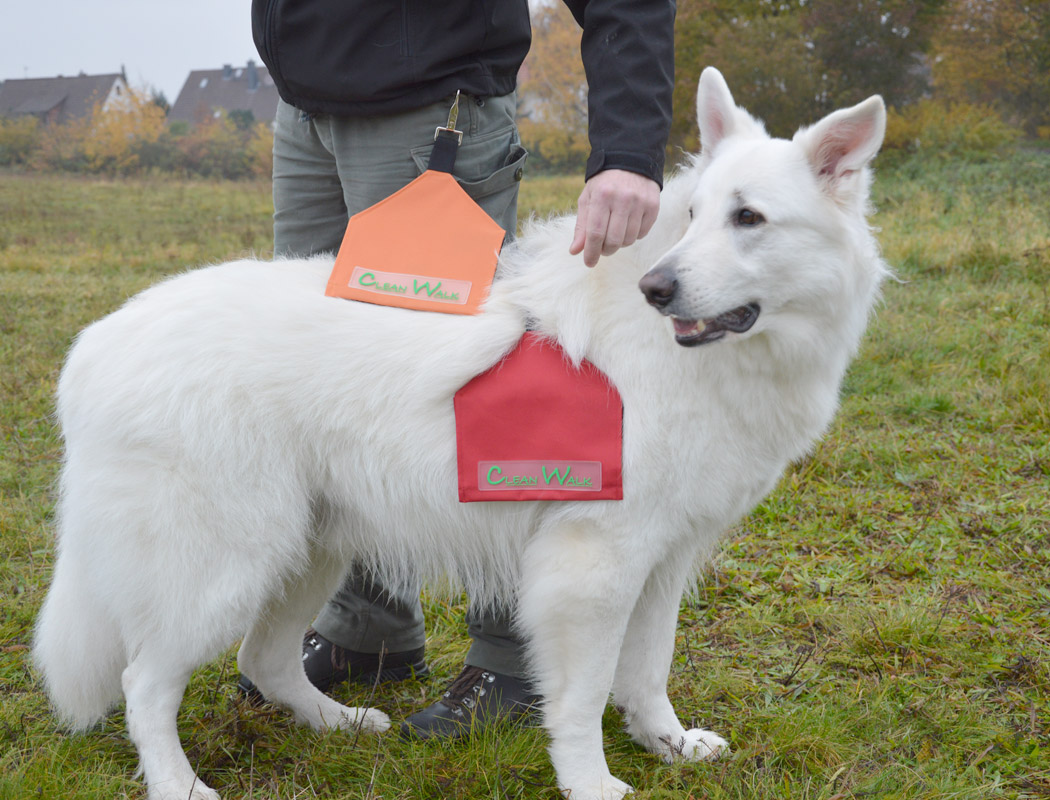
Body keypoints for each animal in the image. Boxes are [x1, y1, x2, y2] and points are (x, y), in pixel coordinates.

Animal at [30, 70, 886, 797]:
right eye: (693, 218)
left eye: (748, 219)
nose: (657, 288)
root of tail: (94, 347)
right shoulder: (592, 569)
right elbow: (582, 700)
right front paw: (592, 782)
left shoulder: (661, 561)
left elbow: (647, 671)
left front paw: (667, 744)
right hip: (226, 564)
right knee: (145, 684)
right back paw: (180, 783)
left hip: (310, 547)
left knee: (264, 659)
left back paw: (339, 723)